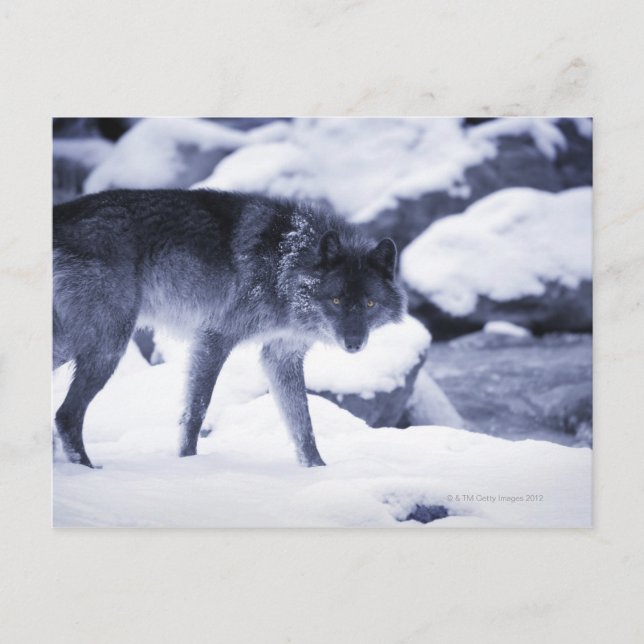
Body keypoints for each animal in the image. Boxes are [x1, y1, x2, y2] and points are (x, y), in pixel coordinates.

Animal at [53, 189, 406, 468]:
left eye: (370, 304)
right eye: (335, 300)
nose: (354, 343)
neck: (285, 262)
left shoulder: (281, 356)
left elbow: (303, 425)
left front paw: (318, 470)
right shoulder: (214, 337)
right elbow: (196, 411)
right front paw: (187, 463)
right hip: (105, 345)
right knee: (67, 415)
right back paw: (87, 470)